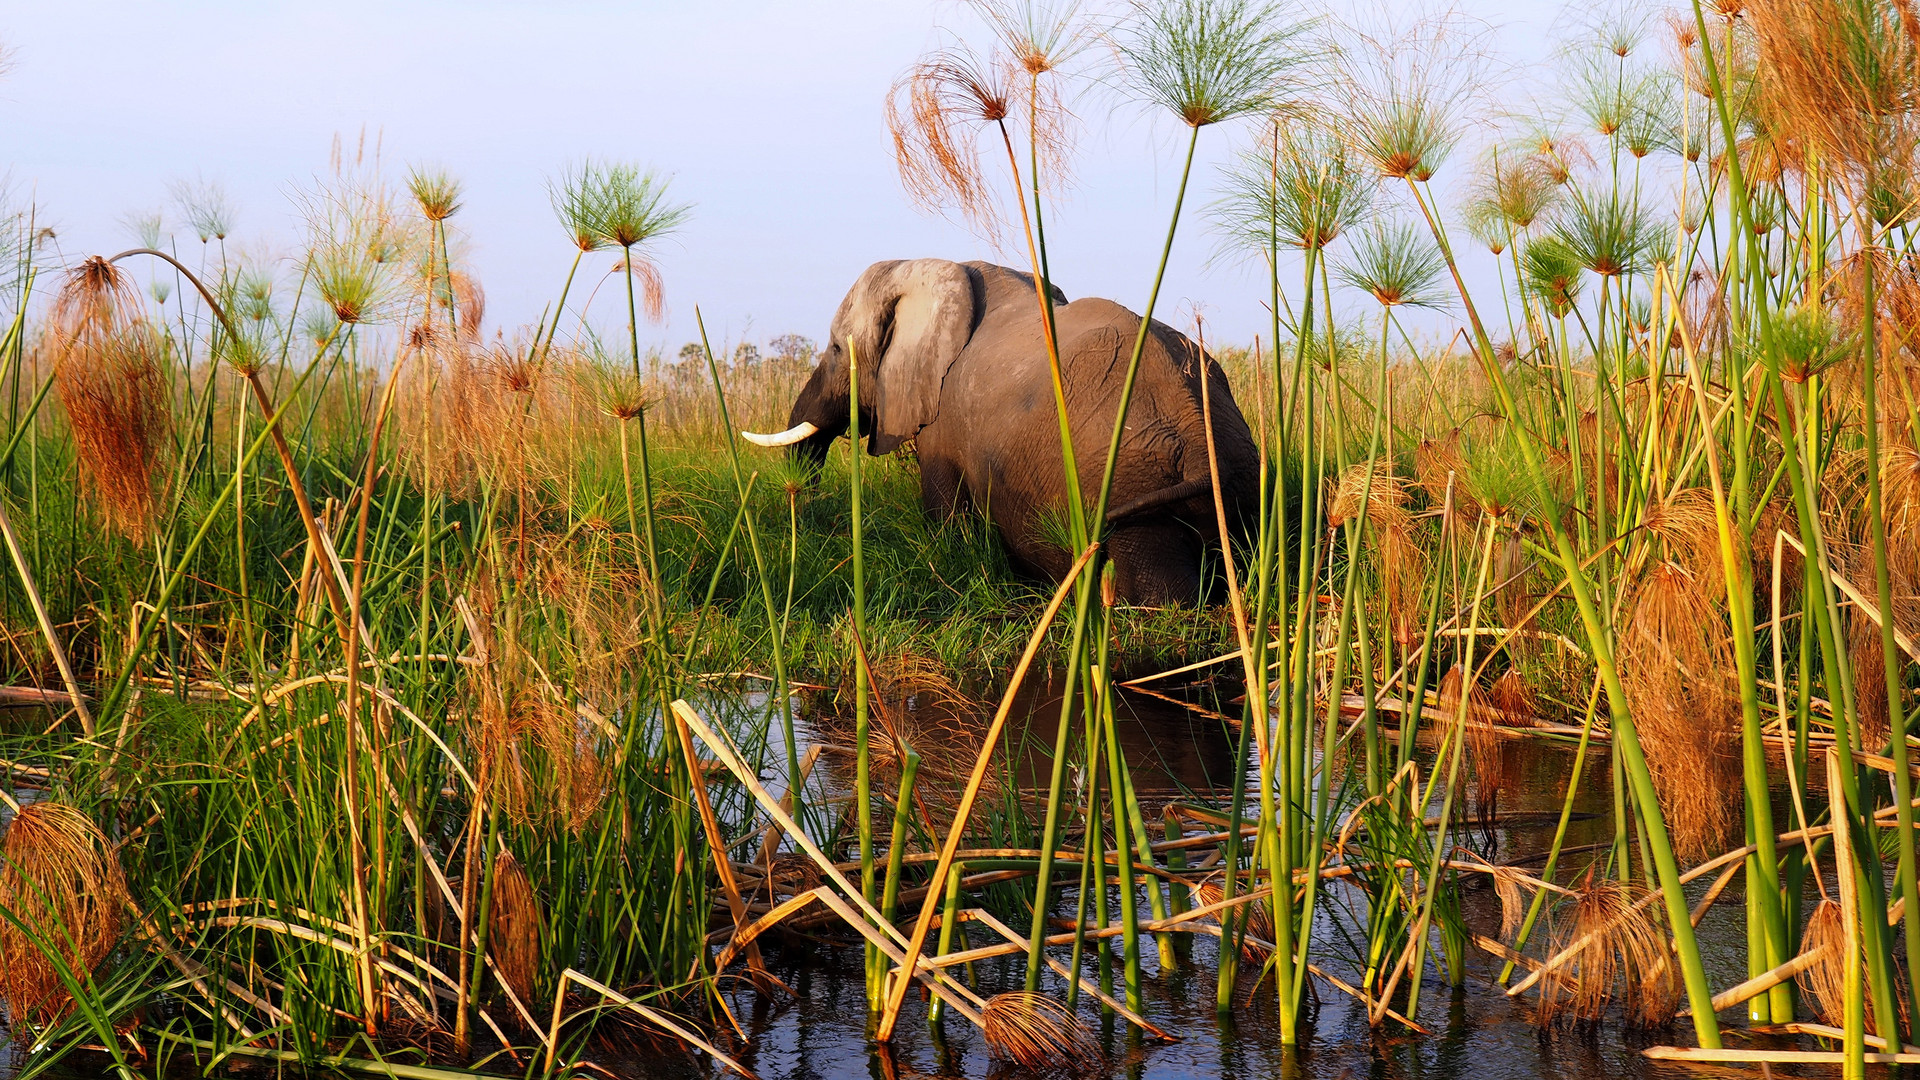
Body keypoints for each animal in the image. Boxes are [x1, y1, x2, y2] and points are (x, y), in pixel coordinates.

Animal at [744, 255, 1259, 599]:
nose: (801, 499)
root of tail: (1198, 436)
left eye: (835, 349)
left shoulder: (945, 423)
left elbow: (946, 519)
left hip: (1131, 484)